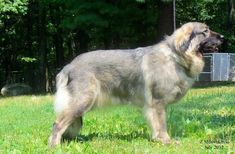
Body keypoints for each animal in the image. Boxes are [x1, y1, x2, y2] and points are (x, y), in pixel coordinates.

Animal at [48, 22, 223, 147]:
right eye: (205, 31)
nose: (222, 36)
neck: (175, 57)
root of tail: (69, 66)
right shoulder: (157, 103)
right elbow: (162, 125)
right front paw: (165, 141)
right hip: (82, 101)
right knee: (57, 124)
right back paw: (54, 146)